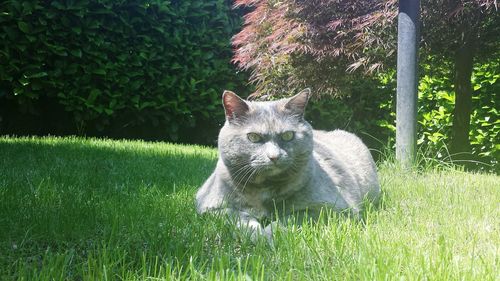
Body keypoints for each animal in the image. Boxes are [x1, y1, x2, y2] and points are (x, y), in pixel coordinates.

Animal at [195, 88, 378, 238]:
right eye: (253, 137)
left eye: (288, 135)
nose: (274, 156)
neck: (265, 189)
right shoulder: (209, 207)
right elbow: (239, 217)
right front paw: (255, 234)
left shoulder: (333, 210)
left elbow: (290, 218)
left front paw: (268, 235)